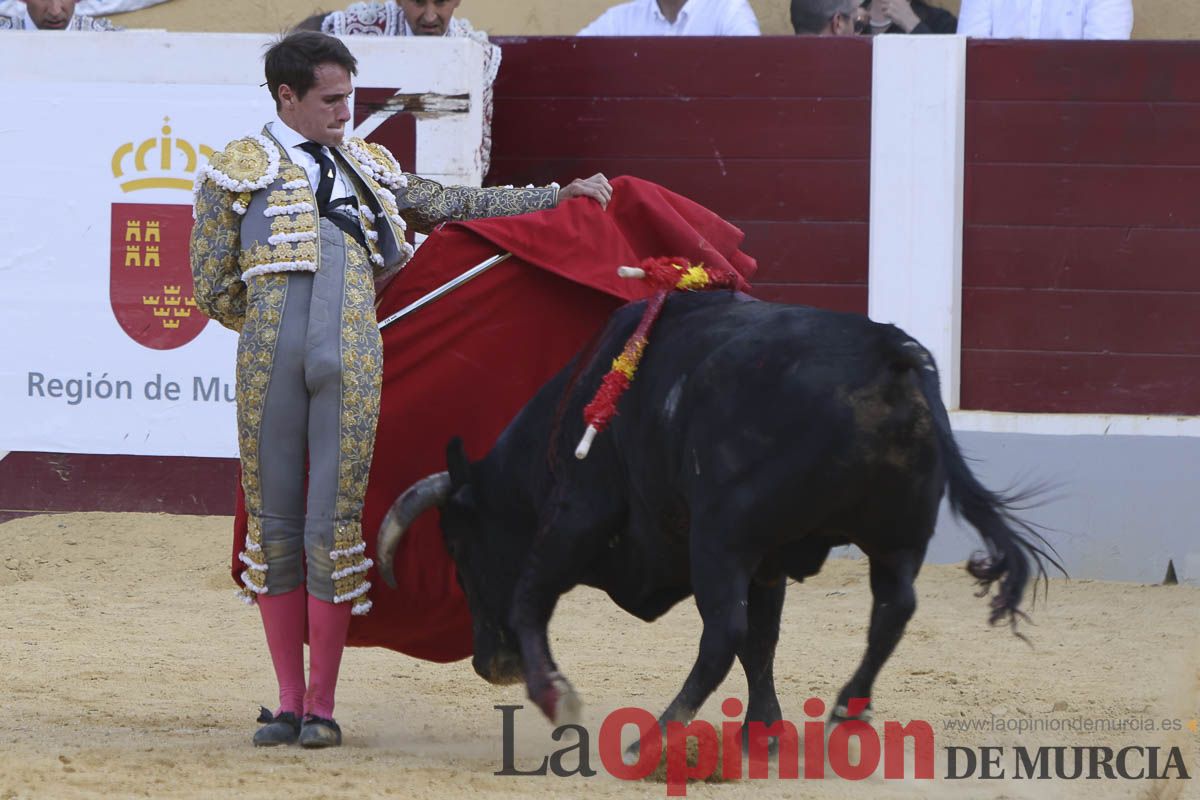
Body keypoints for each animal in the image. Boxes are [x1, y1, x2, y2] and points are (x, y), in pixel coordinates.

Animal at [376, 292, 1060, 738]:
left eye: (458, 549)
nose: (491, 665)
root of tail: (885, 348)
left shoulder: (578, 514)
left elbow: (527, 599)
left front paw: (555, 698)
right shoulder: (769, 560)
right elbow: (764, 639)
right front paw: (764, 732)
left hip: (720, 538)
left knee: (722, 631)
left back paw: (659, 735)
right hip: (897, 537)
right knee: (891, 612)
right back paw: (844, 713)